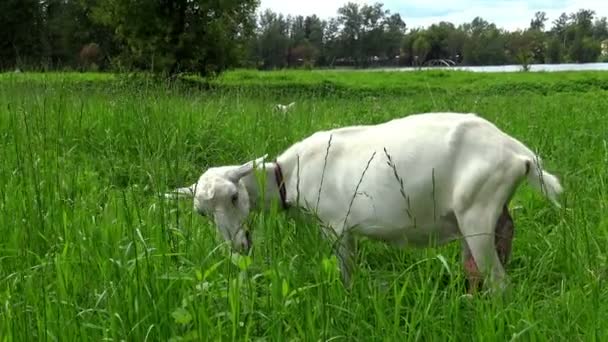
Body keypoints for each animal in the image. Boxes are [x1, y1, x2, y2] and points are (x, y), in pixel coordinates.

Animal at [165, 113, 560, 294]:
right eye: (201, 213)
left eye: (234, 196)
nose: (238, 246)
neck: (287, 176)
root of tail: (520, 154)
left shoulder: (336, 227)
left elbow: (346, 272)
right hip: (484, 209)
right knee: (483, 259)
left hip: (477, 209)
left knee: (497, 279)